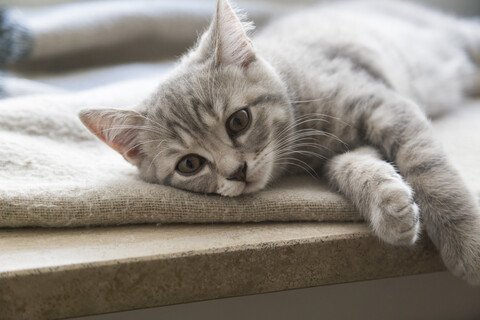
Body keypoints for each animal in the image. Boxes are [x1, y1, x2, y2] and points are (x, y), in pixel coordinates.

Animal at [79, 0, 480, 284]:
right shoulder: (342, 149)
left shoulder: (385, 104)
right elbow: (354, 166)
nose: (237, 171)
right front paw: (391, 208)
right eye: (189, 164)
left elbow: (429, 167)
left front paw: (466, 241)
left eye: (238, 121)